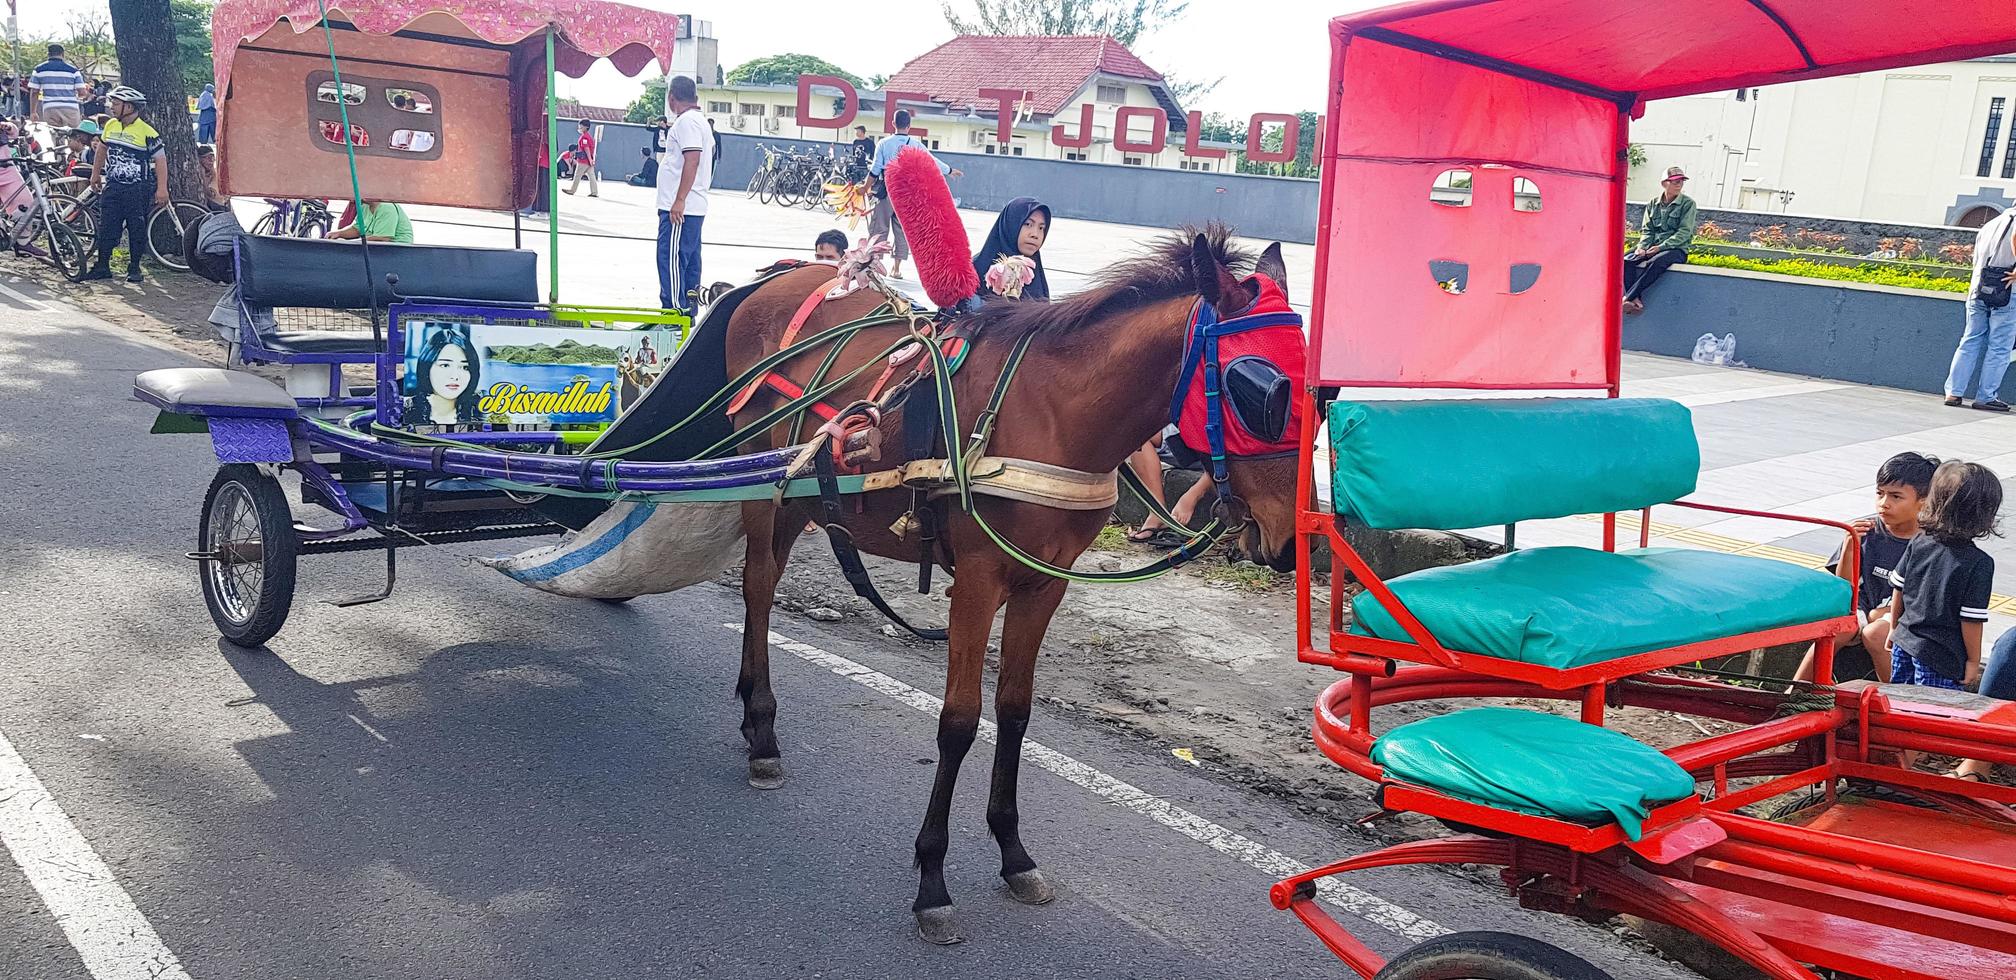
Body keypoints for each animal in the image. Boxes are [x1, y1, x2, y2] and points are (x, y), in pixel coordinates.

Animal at [717, 227, 1298, 943]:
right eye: (1259, 391)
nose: (1291, 541)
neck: (1052, 415)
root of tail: (777, 279)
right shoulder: (977, 577)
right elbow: (960, 721)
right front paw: (932, 880)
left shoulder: (1043, 585)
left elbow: (1016, 712)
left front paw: (1013, 851)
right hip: (758, 484)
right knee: (757, 586)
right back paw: (763, 730)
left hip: (799, 496)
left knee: (766, 579)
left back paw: (754, 715)